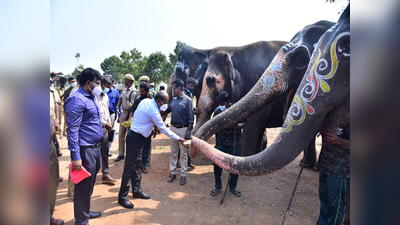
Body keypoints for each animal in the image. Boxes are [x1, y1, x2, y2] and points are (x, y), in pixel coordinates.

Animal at [189, 3, 348, 176]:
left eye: (210, 81)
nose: (191, 144)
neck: (237, 49)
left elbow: (254, 122)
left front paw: (245, 158)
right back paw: (306, 165)